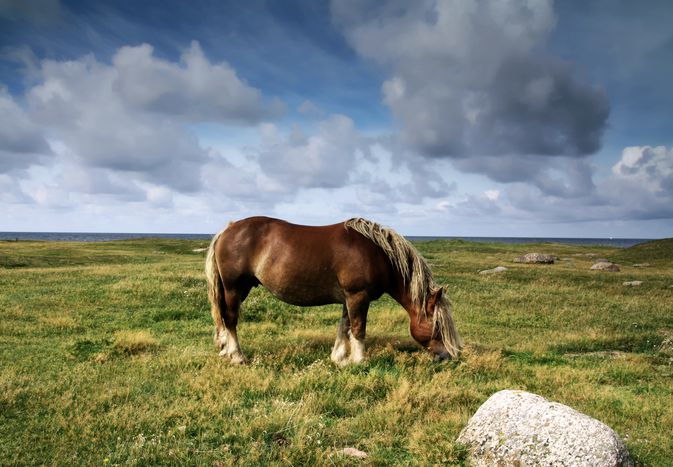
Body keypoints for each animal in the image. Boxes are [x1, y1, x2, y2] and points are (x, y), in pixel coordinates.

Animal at [202, 216, 460, 366]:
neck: (378, 254)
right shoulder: (358, 296)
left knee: (224, 319)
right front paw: (358, 360)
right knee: (231, 319)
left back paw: (225, 350)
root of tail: (228, 229)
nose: (448, 356)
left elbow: (344, 326)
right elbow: (358, 328)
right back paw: (237, 356)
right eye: (438, 326)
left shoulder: (348, 298)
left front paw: (338, 357)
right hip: (234, 288)